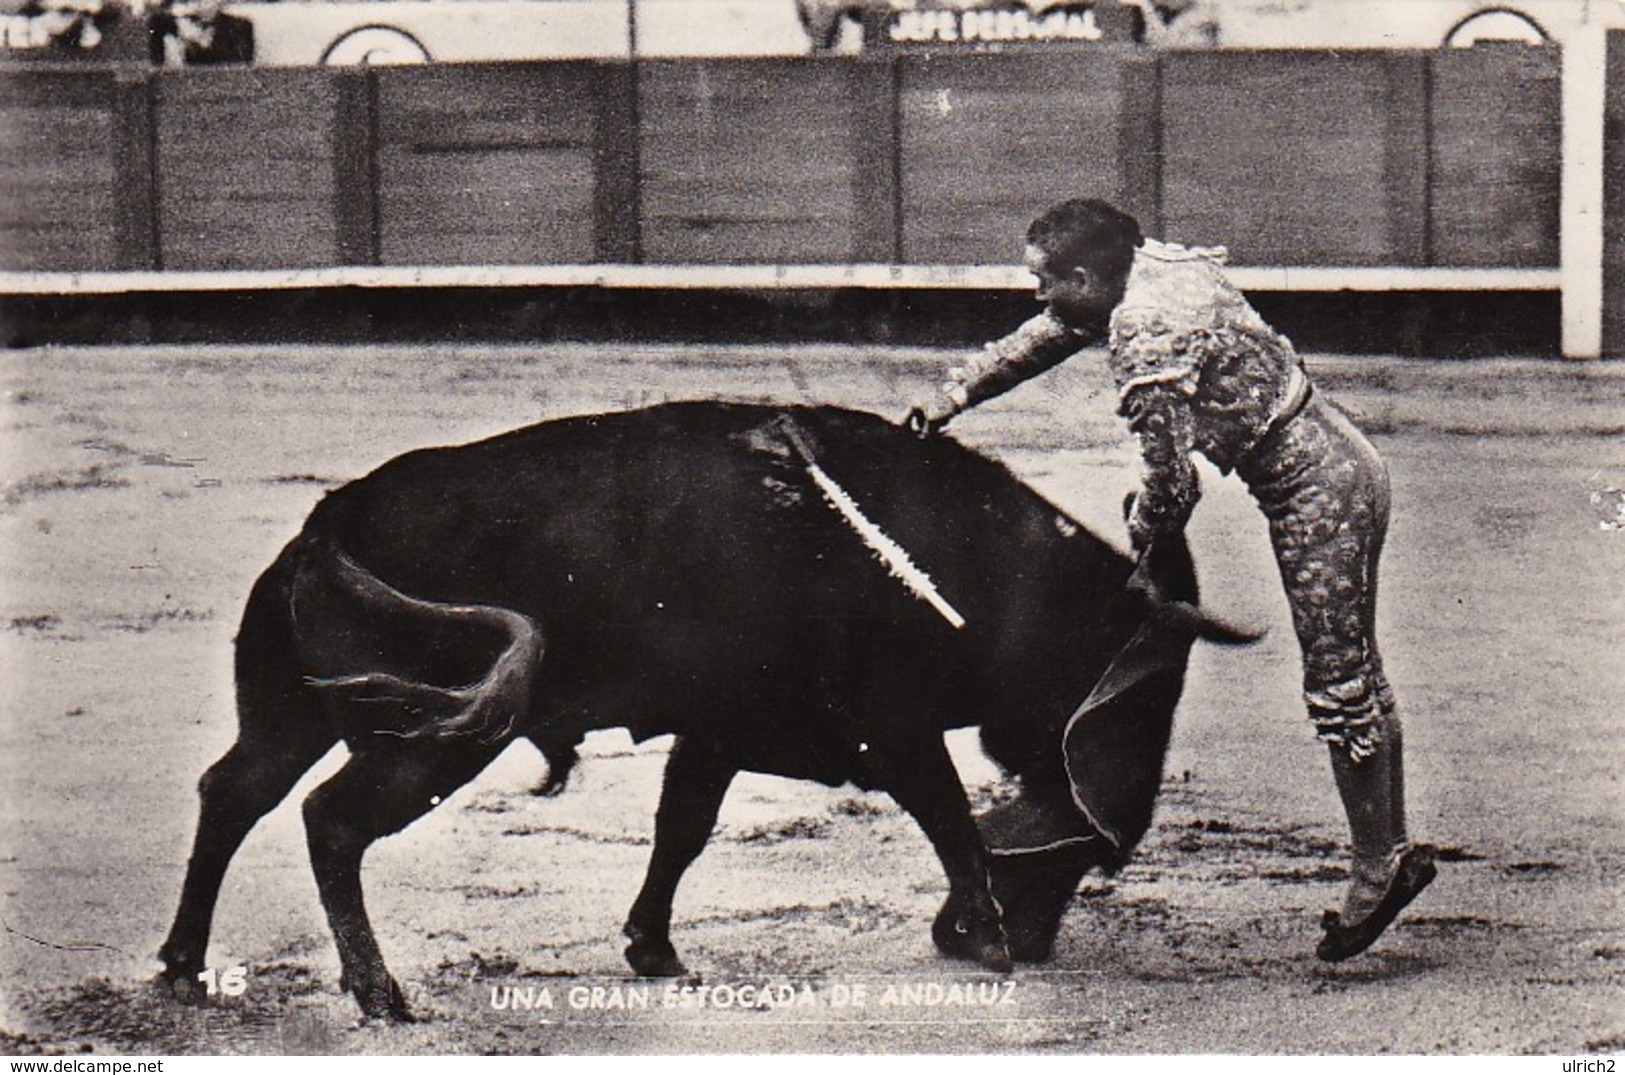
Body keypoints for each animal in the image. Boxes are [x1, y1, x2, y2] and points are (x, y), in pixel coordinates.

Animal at [155, 399, 1254, 1026]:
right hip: (427, 744)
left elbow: (681, 827)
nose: (1036, 940)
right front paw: (983, 935)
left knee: (234, 791)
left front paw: (653, 947)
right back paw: (378, 993)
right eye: (1138, 697)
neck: (971, 571)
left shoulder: (717, 726)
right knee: (329, 819)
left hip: (295, 713)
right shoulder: (890, 725)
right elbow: (946, 814)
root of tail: (330, 516)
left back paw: (181, 967)